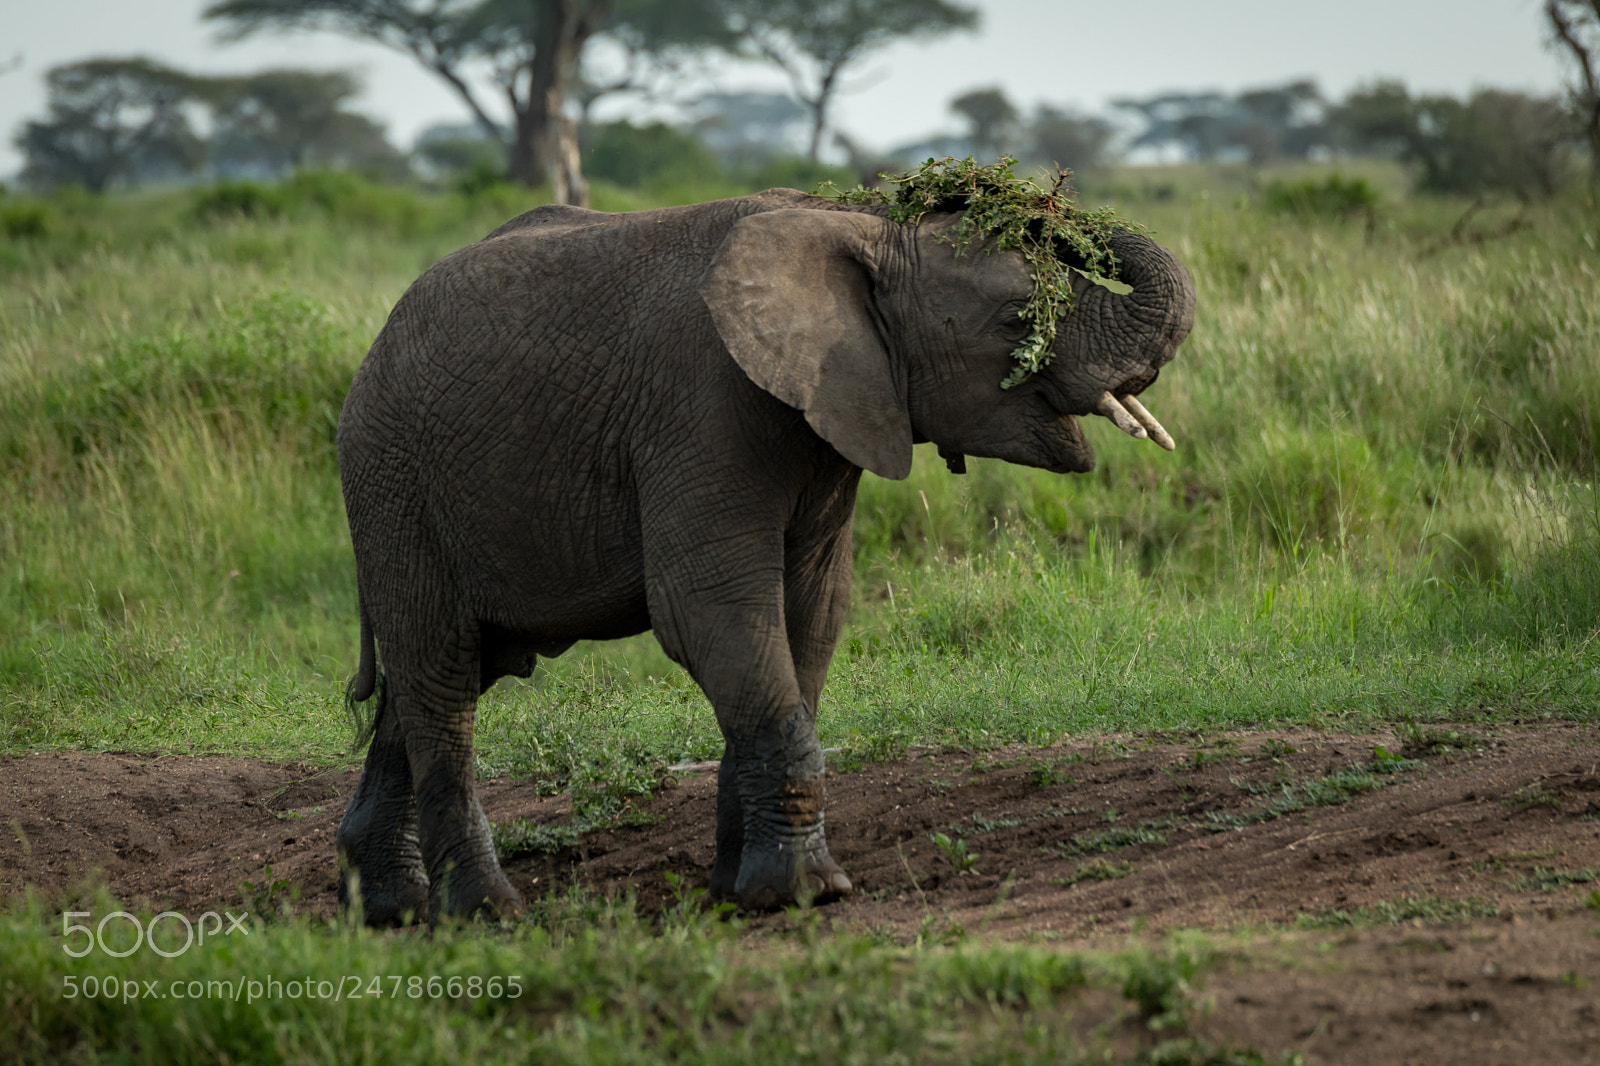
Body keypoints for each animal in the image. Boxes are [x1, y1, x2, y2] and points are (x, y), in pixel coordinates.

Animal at [333, 185, 1195, 924]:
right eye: (1020, 319)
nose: (970, 186)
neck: (857, 231)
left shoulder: (832, 419)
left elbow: (810, 616)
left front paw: (736, 892)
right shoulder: (701, 406)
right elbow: (709, 611)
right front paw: (805, 895)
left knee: (439, 674)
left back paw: (389, 908)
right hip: (392, 482)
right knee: (441, 673)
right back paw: (484, 912)